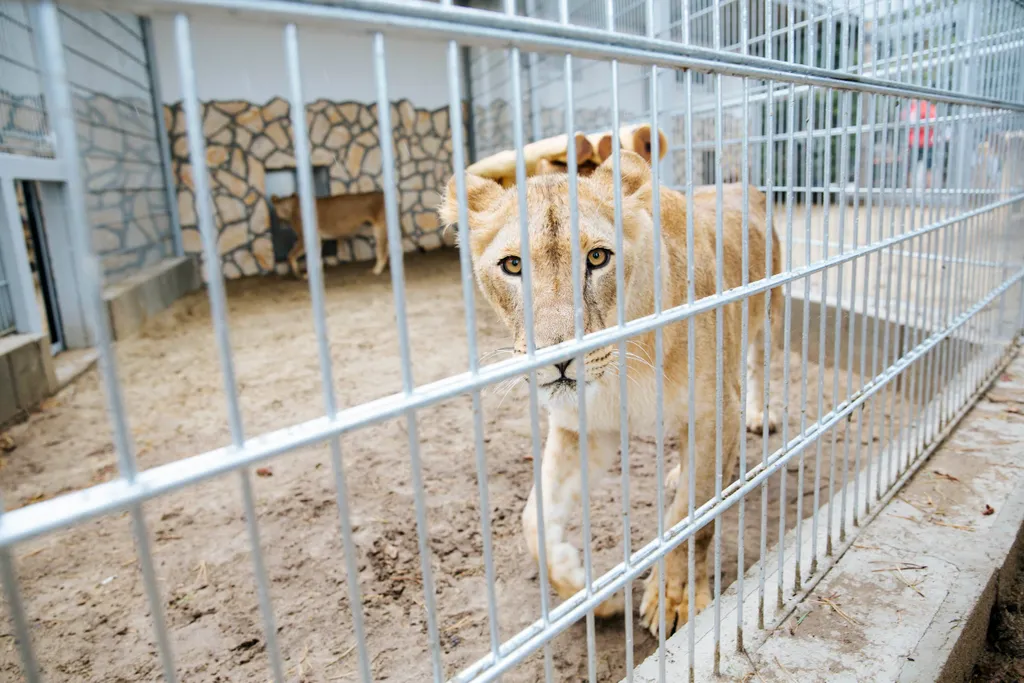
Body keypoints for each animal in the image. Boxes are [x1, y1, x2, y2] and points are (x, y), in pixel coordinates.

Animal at [436, 149, 778, 634]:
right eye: (513, 265)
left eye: (598, 257)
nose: (559, 361)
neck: (622, 365)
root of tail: (738, 184)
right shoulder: (582, 429)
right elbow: (533, 520)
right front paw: (584, 589)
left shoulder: (717, 409)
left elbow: (691, 519)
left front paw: (674, 598)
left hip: (769, 317)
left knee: (760, 368)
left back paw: (760, 418)